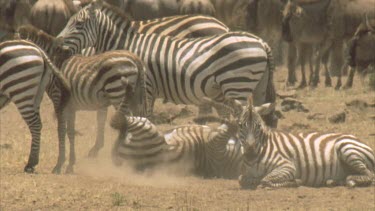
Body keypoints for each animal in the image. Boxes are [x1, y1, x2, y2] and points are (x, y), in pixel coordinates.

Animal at [0, 38, 70, 172]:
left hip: (21, 90)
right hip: (36, 94)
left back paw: (30, 164)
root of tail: (38, 49)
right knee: (40, 123)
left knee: (35, 124)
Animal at [17, 24, 149, 173]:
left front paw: (59, 164)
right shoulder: (71, 106)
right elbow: (70, 132)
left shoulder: (59, 101)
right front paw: (70, 164)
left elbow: (61, 131)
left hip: (118, 94)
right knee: (141, 119)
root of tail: (135, 58)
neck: (53, 61)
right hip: (135, 97)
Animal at [56, 0, 280, 129]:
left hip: (237, 84)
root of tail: (261, 42)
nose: (56, 44)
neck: (128, 46)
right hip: (257, 88)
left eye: (78, 24)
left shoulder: (146, 86)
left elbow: (144, 115)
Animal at [238, 96, 375, 189]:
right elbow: (242, 179)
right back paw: (333, 181)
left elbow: (265, 179)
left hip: (347, 148)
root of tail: (356, 138)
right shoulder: (246, 173)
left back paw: (351, 180)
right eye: (240, 126)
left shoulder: (287, 166)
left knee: (369, 175)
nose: (250, 152)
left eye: (259, 126)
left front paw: (295, 182)